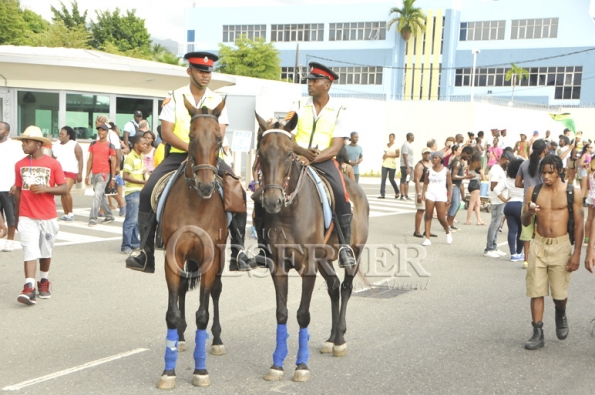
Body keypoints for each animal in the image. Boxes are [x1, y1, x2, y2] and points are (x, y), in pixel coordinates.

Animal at [255, 112, 370, 384]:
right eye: (261, 153)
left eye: (288, 153)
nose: (272, 201)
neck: (290, 211)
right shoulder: (279, 267)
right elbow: (282, 313)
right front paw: (277, 365)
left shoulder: (308, 267)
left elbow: (303, 314)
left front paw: (301, 366)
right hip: (324, 258)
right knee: (334, 287)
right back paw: (330, 338)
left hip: (355, 253)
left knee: (346, 287)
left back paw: (339, 340)